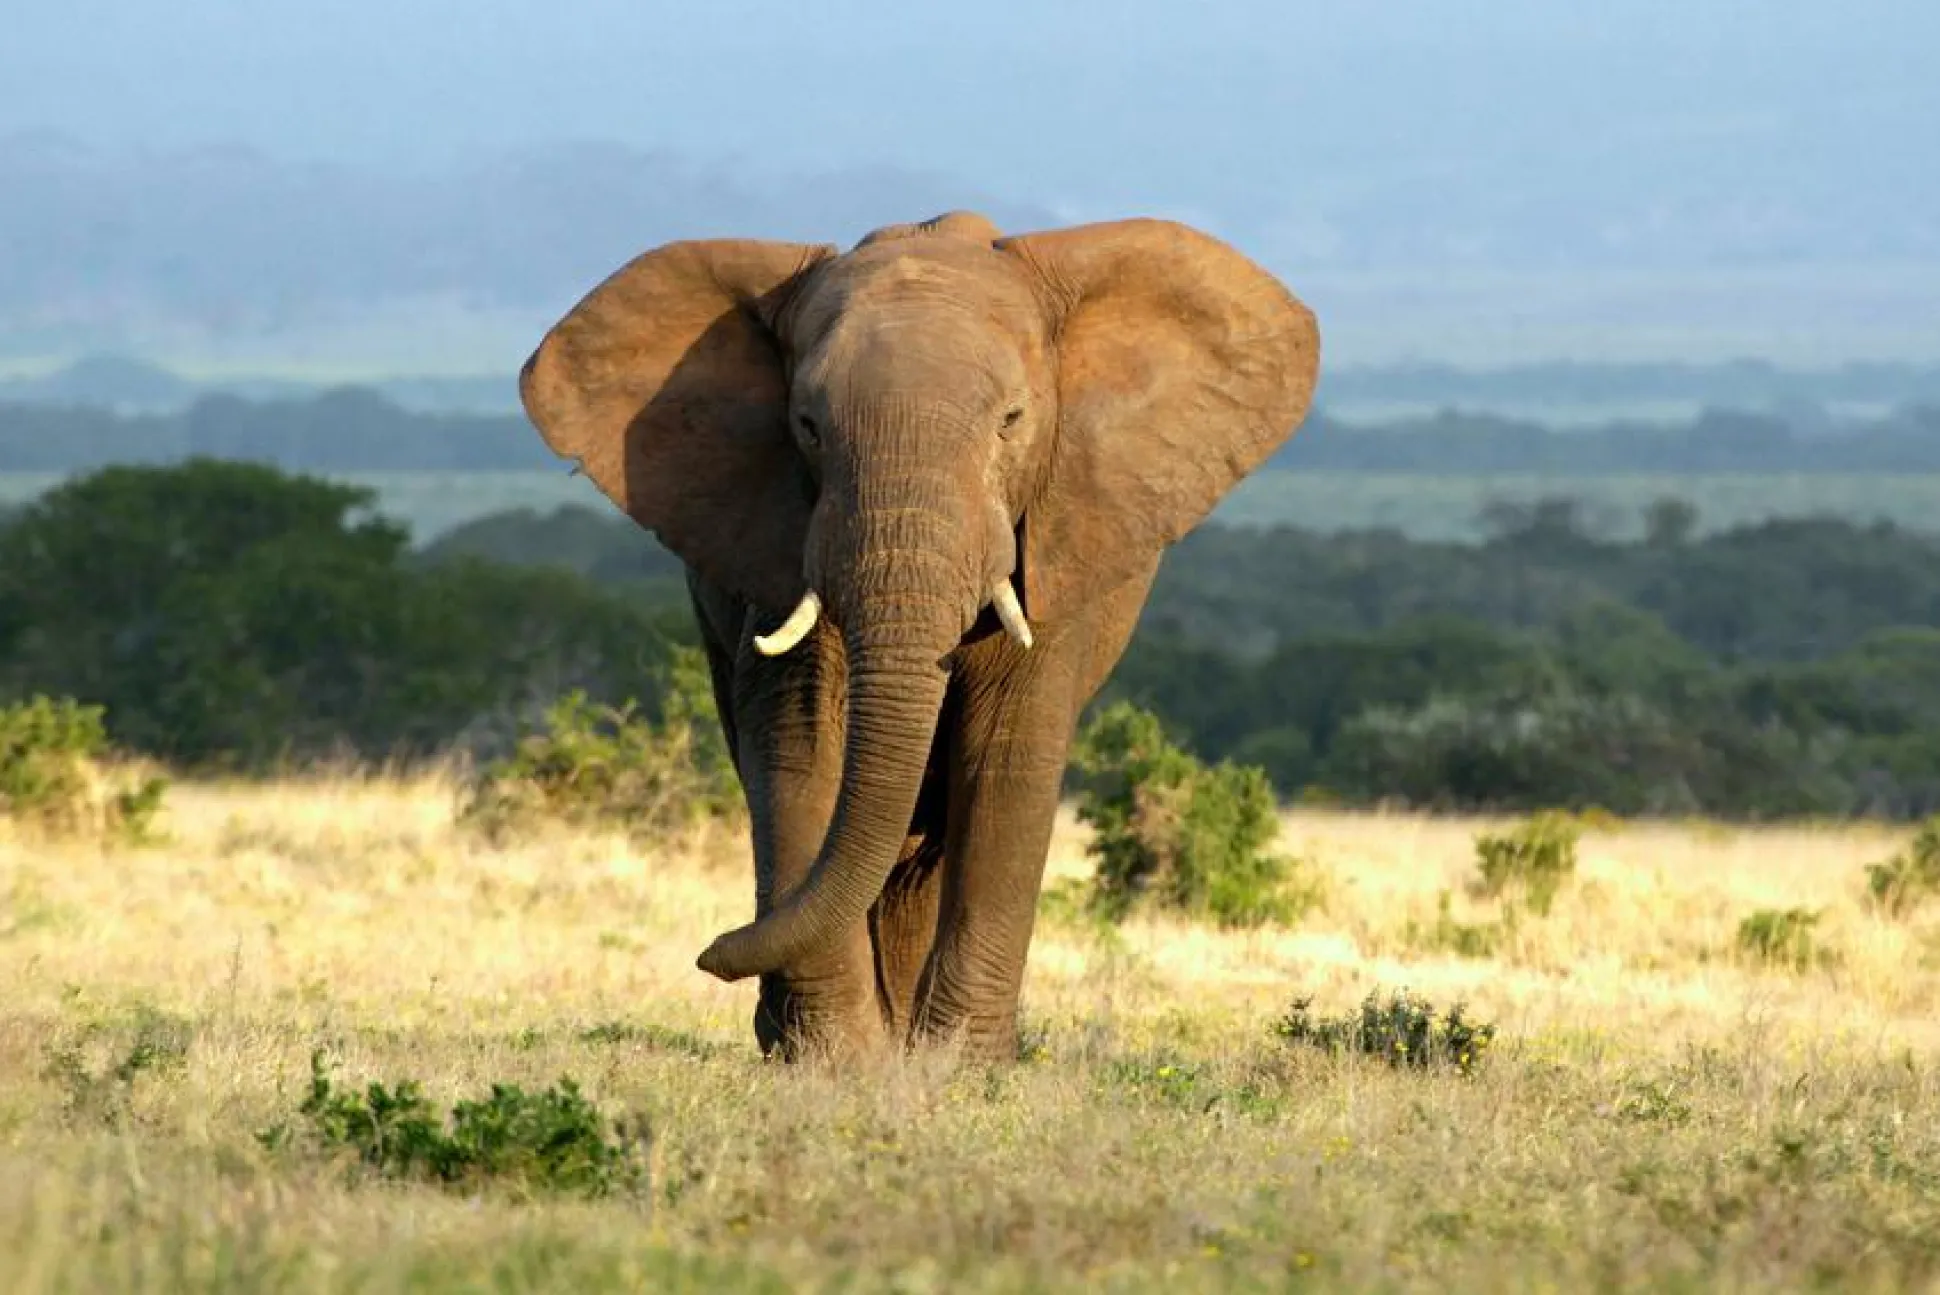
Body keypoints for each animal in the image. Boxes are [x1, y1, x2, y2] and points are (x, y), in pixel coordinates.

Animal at [518, 209, 1319, 1062]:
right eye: (807, 427)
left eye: (1011, 422)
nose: (712, 952)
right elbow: (801, 742)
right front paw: (837, 1060)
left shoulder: (1058, 533)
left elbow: (1006, 754)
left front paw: (956, 1065)